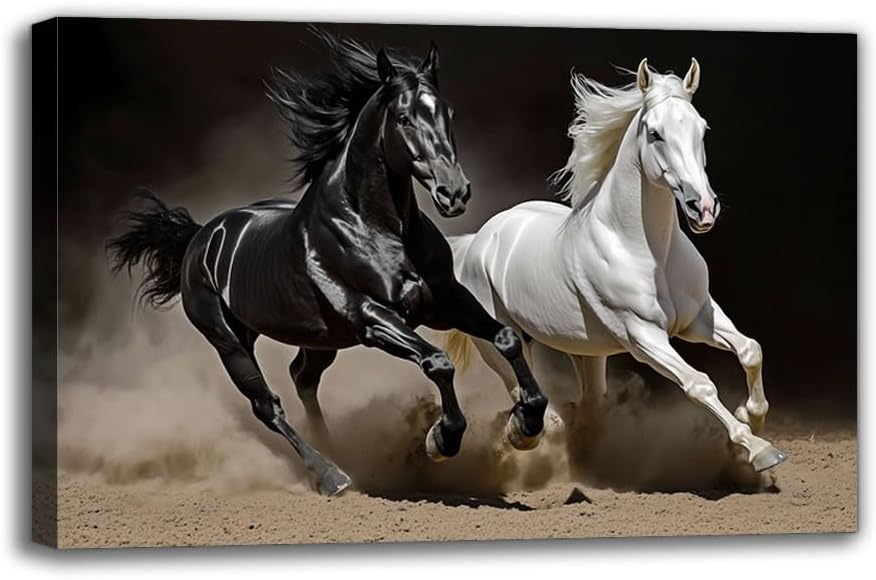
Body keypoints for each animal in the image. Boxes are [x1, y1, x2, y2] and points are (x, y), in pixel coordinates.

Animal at [108, 32, 548, 496]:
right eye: (404, 118)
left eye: (449, 113)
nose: (454, 192)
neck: (376, 226)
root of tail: (202, 236)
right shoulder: (373, 318)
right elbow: (437, 362)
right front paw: (442, 437)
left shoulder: (444, 301)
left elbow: (506, 339)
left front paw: (527, 425)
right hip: (228, 340)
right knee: (268, 406)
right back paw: (332, 475)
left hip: (322, 339)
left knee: (302, 376)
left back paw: (342, 455)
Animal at [445, 58, 788, 474]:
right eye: (655, 133)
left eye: (701, 128)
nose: (703, 208)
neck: (648, 252)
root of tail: (480, 239)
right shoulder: (643, 337)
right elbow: (699, 384)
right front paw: (758, 448)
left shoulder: (698, 319)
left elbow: (751, 349)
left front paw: (751, 414)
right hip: (498, 342)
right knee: (530, 396)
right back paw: (518, 434)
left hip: (587, 351)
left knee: (590, 401)